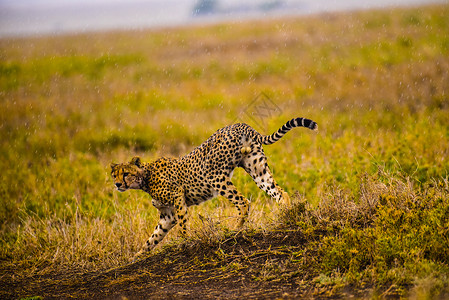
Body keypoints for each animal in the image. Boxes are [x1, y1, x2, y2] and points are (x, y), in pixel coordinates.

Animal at [110, 117, 316, 258]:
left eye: (126, 173)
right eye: (115, 174)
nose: (117, 184)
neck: (145, 178)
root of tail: (242, 125)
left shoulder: (177, 196)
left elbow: (182, 223)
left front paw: (185, 241)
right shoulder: (167, 215)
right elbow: (152, 238)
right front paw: (136, 256)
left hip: (215, 177)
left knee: (243, 202)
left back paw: (234, 230)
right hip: (257, 169)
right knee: (280, 193)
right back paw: (287, 214)